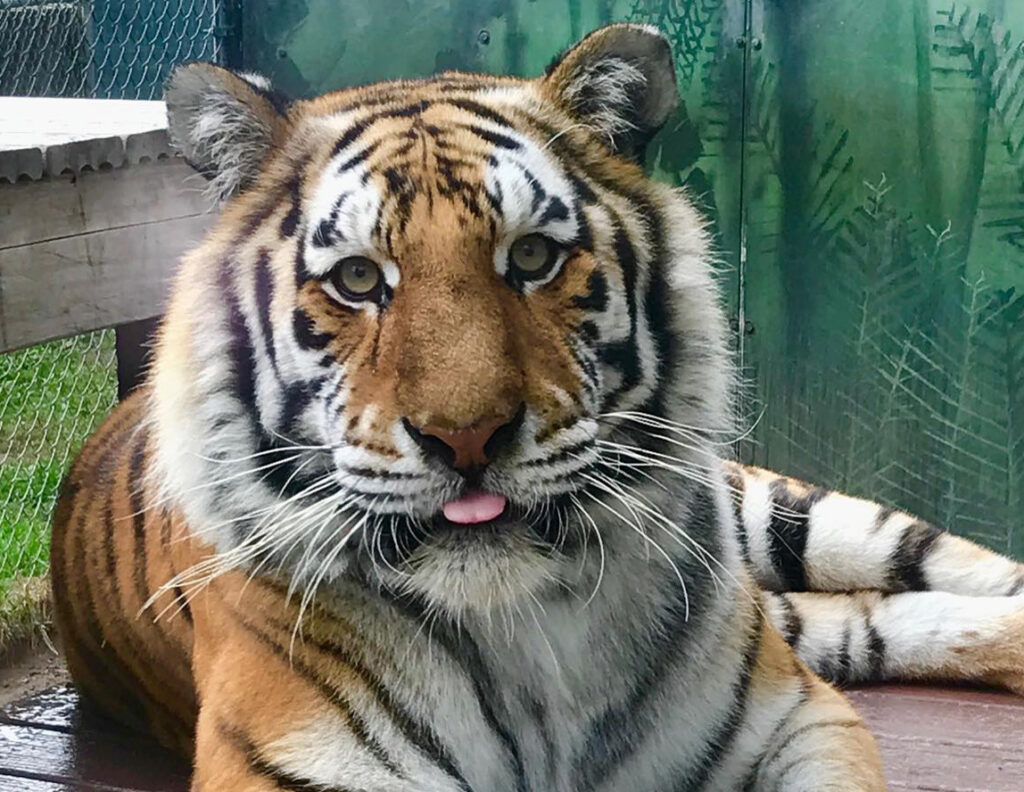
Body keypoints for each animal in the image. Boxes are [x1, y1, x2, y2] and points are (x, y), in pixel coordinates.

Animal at [49, 23, 1024, 792]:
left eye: (530, 257)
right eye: (358, 279)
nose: (466, 437)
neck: (532, 639)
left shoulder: (798, 721)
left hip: (785, 516)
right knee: (863, 618)